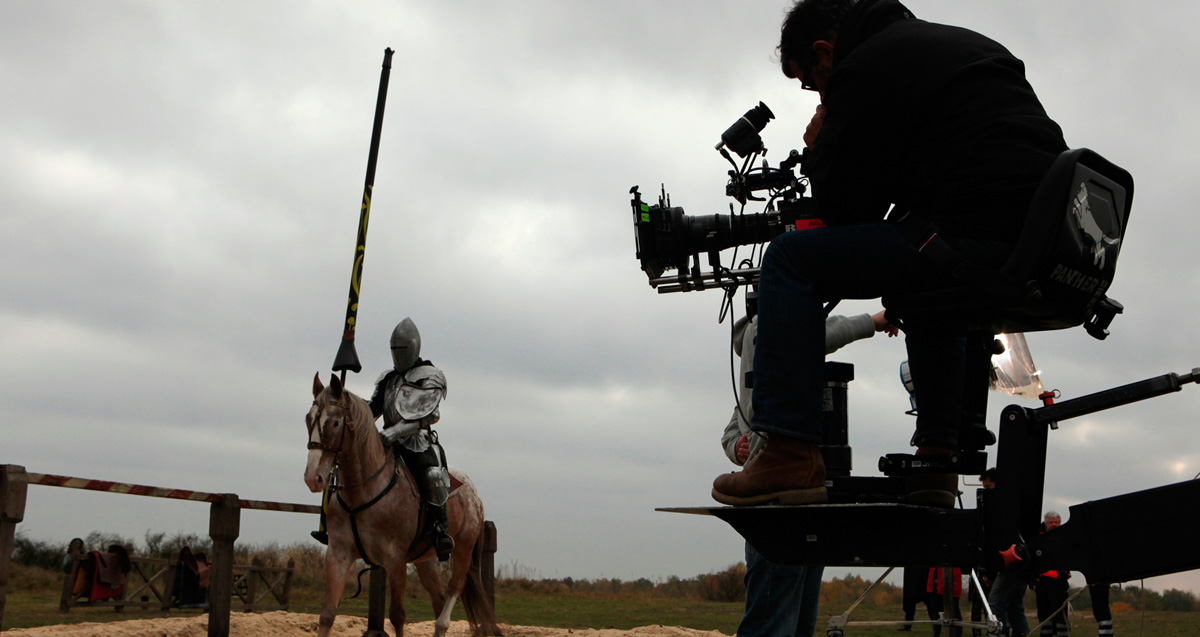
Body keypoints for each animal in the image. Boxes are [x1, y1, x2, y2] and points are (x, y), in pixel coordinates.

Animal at [304, 373, 502, 637]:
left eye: (335, 423)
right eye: (308, 420)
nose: (313, 477)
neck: (363, 489)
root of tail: (473, 493)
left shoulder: (395, 560)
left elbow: (397, 616)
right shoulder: (338, 554)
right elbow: (327, 615)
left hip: (462, 549)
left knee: (452, 593)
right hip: (425, 560)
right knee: (438, 600)